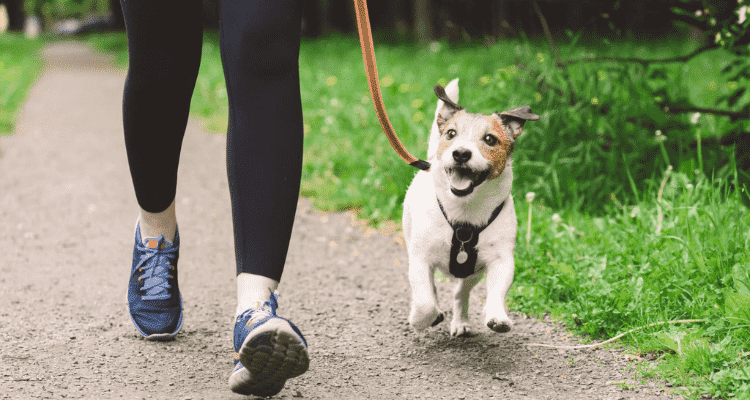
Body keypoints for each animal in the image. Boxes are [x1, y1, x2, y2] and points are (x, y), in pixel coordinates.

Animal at [406, 79, 540, 338]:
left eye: (490, 139)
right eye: (451, 134)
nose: (460, 153)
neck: (464, 214)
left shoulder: (501, 260)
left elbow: (496, 291)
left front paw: (497, 317)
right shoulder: (419, 259)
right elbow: (425, 300)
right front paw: (420, 319)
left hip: (472, 273)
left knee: (460, 293)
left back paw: (461, 322)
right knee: (431, 290)